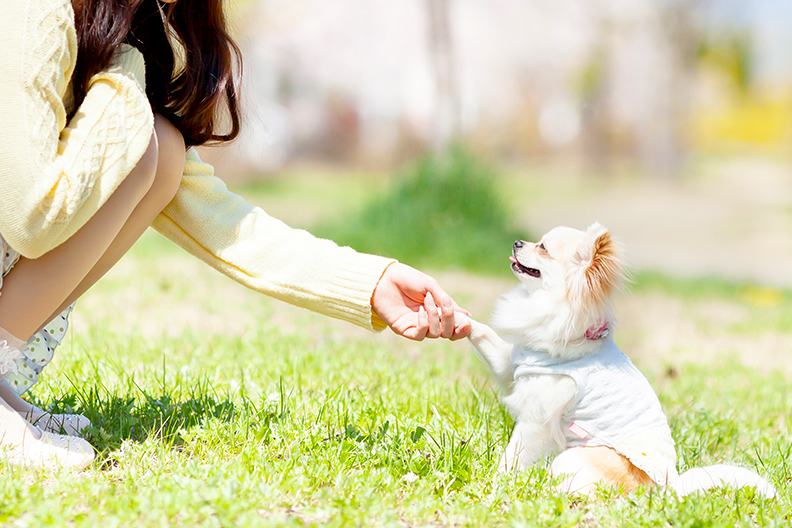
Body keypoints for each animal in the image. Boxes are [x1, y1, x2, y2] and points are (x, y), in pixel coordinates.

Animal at [460, 225, 776, 498]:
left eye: (543, 247)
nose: (517, 242)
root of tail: (666, 486)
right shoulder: (511, 367)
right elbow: (486, 336)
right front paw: (459, 319)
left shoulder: (536, 419)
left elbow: (512, 456)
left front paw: (494, 483)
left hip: (574, 457)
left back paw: (546, 492)